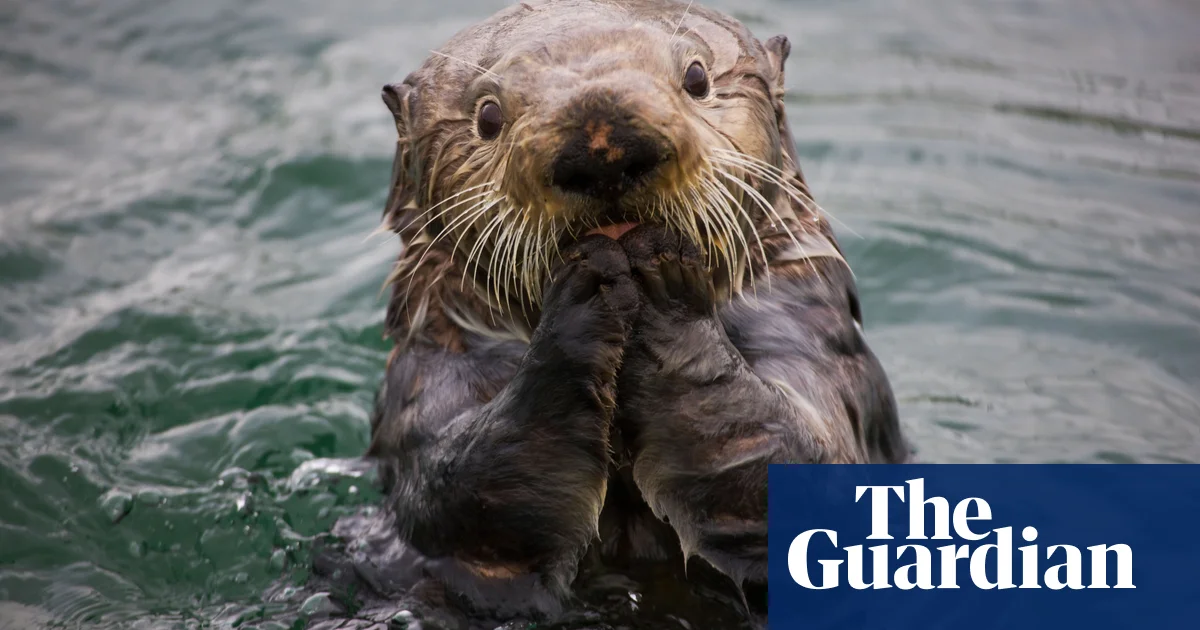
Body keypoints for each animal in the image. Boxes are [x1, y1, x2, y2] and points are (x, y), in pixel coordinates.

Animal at [361, 0, 908, 624]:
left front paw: (659, 284)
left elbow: (801, 460)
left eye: (696, 77)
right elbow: (448, 495)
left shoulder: (811, 333)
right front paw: (589, 289)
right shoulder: (428, 374)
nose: (603, 145)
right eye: (488, 116)